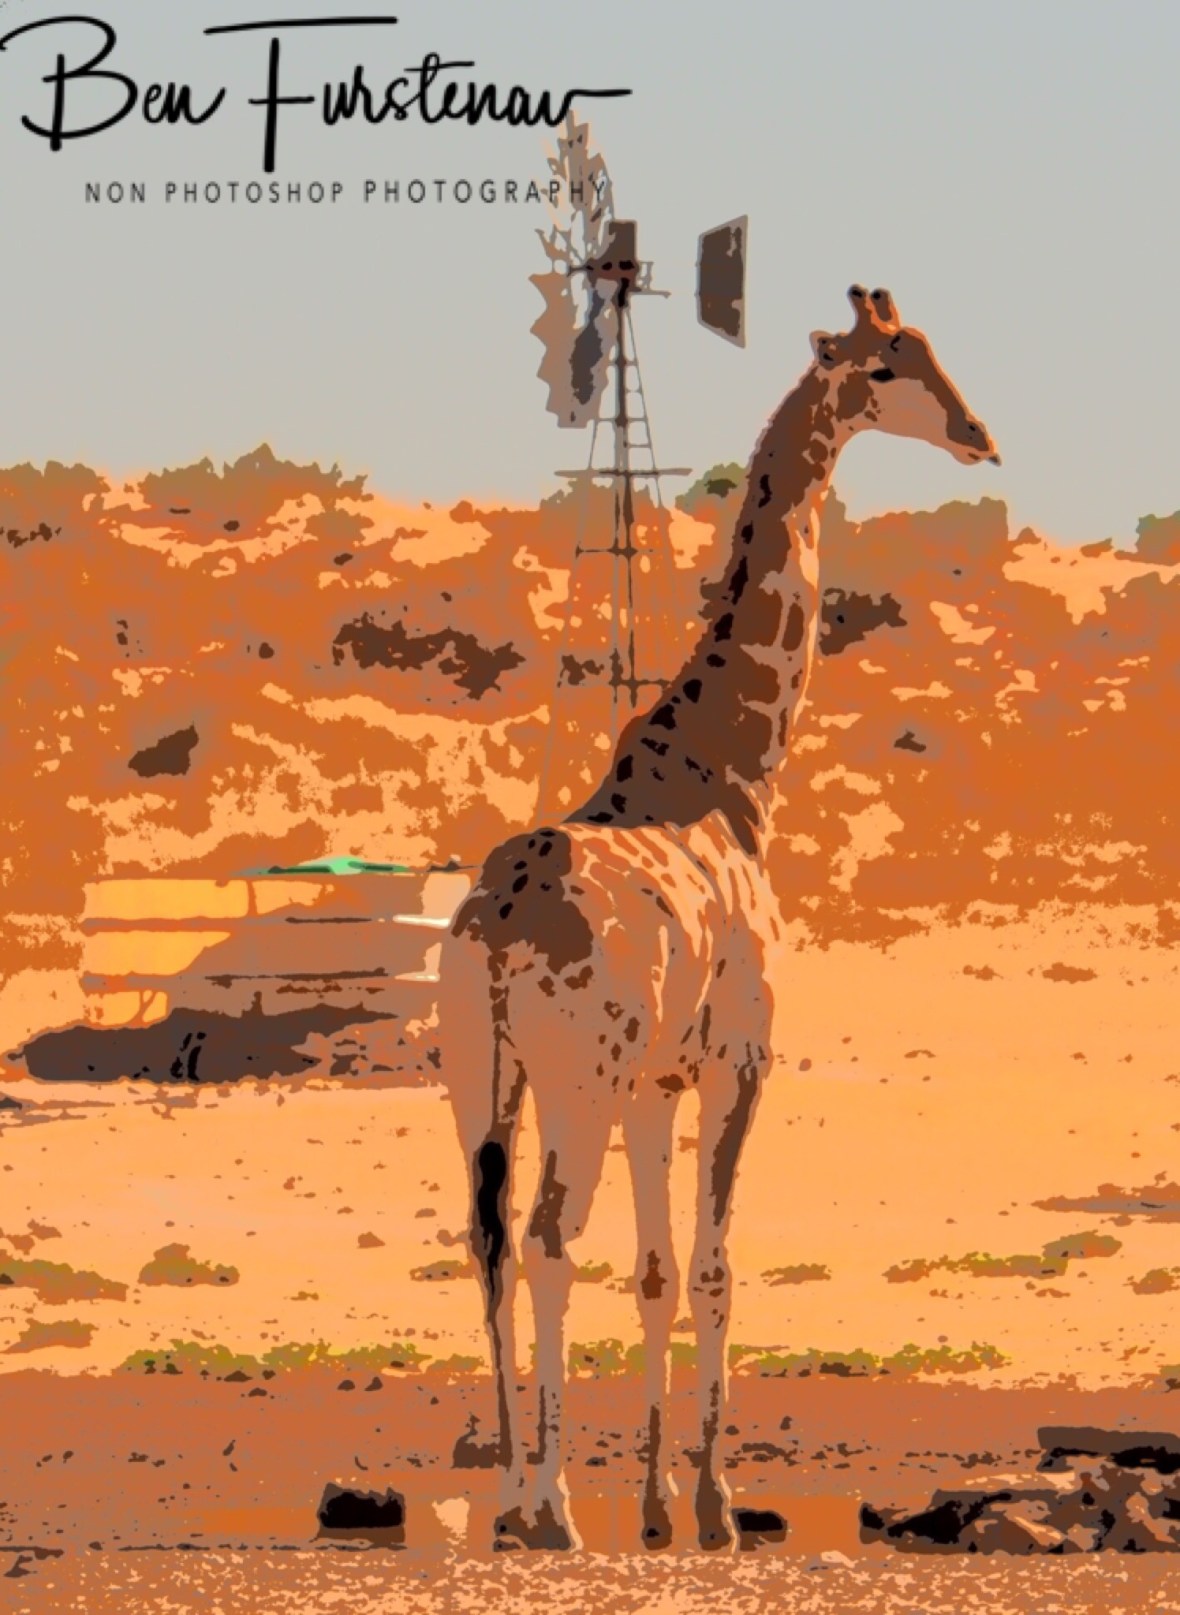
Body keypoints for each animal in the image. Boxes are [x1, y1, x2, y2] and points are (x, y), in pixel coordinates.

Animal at [438, 285, 1000, 1552]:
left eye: (930, 350)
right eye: (888, 366)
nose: (977, 435)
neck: (732, 775)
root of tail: (494, 931)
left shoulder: (660, 1075)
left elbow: (653, 1270)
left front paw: (654, 1504)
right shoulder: (742, 1054)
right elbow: (712, 1265)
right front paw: (714, 1503)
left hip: (477, 1072)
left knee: (487, 1243)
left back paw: (511, 1497)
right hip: (575, 1075)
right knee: (547, 1239)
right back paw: (548, 1509)